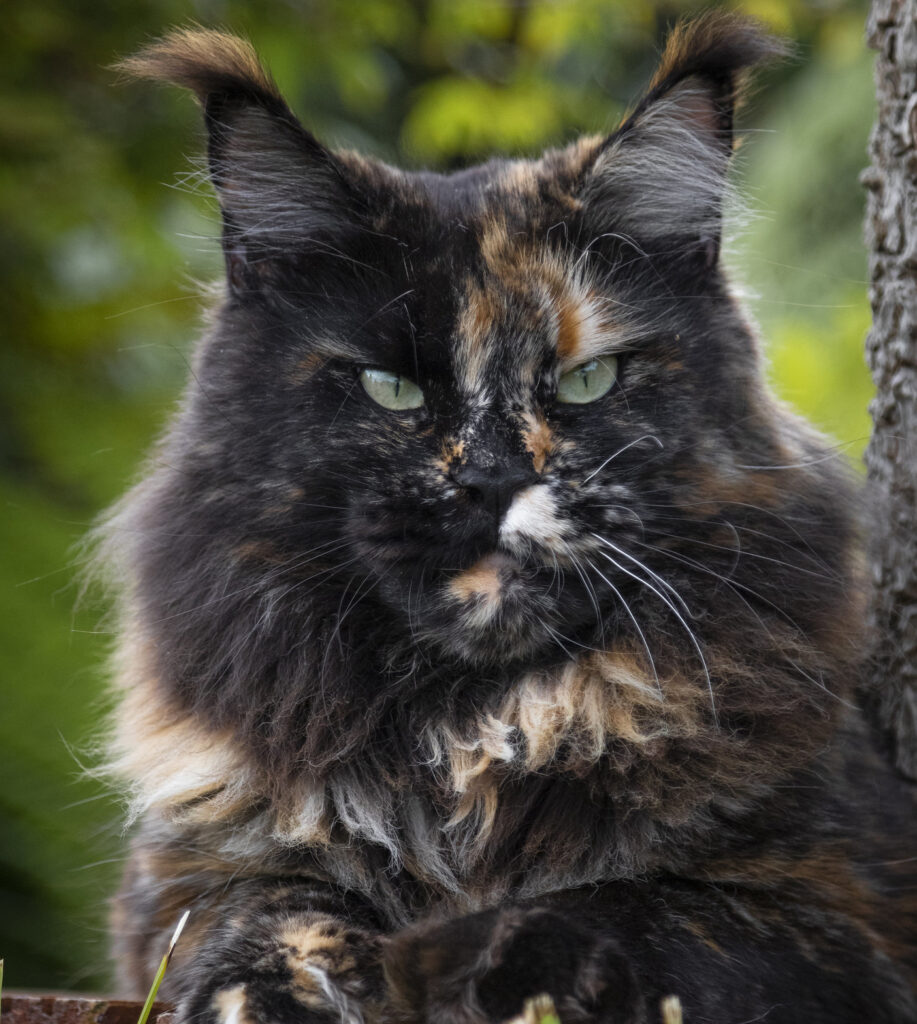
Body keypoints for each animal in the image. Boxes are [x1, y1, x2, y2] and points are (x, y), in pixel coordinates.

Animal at [102, 12, 917, 1019]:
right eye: (392, 389)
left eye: (587, 379)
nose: (492, 481)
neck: (476, 735)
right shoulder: (180, 883)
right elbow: (268, 909)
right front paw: (276, 987)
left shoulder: (839, 914)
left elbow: (618, 905)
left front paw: (458, 959)